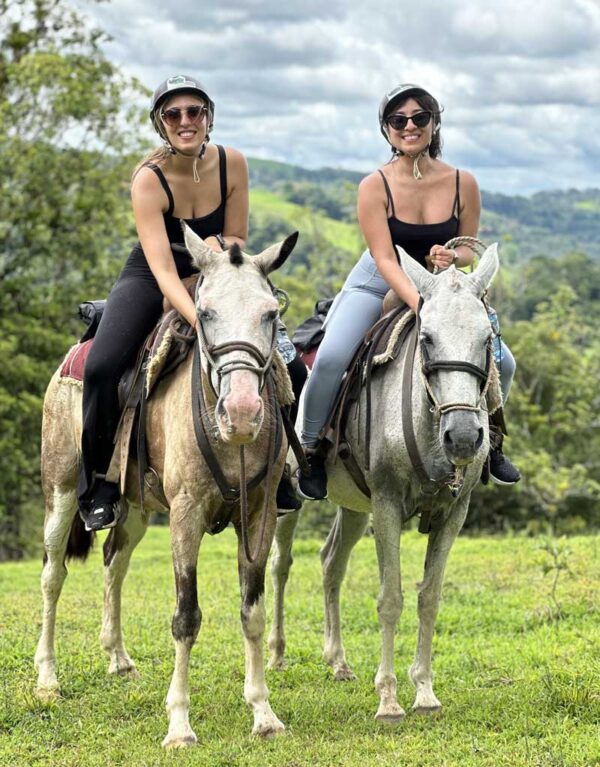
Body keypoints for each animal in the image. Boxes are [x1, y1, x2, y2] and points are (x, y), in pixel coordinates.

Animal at [34, 228, 296, 752]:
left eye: (270, 314)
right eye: (205, 312)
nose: (241, 413)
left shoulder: (258, 515)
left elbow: (252, 612)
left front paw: (263, 713)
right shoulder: (186, 514)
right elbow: (186, 617)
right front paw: (179, 724)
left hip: (133, 507)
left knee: (114, 562)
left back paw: (117, 658)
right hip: (61, 490)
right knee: (53, 575)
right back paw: (47, 678)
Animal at [270, 244, 500, 720]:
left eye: (487, 339)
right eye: (427, 338)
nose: (463, 436)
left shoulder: (453, 513)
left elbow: (429, 597)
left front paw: (425, 691)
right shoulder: (388, 504)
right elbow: (390, 598)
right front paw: (390, 699)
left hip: (355, 505)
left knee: (331, 562)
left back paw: (337, 661)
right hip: (291, 496)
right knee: (280, 565)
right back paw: (277, 653)